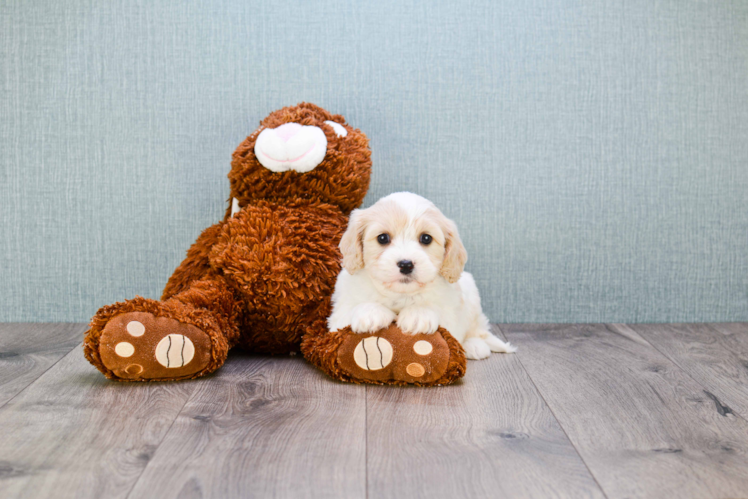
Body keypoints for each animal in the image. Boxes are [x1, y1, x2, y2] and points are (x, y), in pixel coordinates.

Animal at [330, 191, 516, 360]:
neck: (400, 294)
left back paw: (474, 346)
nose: (406, 264)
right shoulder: (338, 316)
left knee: (477, 329)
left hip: (471, 295)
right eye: (382, 238)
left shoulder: (451, 313)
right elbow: (351, 311)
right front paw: (371, 312)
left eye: (426, 238)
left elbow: (436, 311)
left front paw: (418, 314)